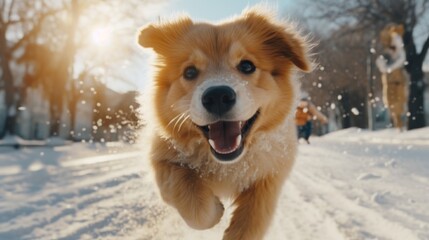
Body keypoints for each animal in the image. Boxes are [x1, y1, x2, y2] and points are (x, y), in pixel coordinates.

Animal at [139, 6, 310, 239]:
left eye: (247, 66)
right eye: (189, 72)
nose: (218, 96)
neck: (226, 164)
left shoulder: (269, 179)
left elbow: (251, 223)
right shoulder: (162, 161)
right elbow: (196, 208)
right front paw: (215, 209)